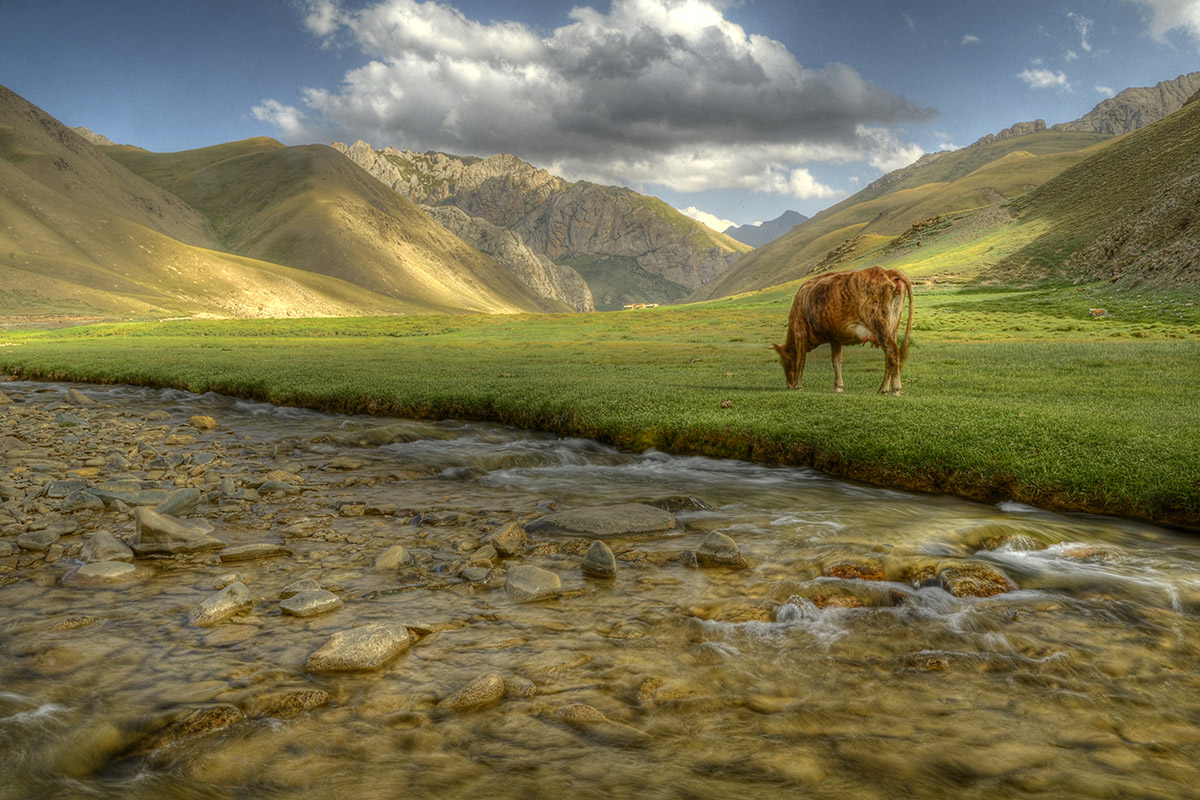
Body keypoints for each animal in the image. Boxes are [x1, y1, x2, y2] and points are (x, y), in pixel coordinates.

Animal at [772, 267, 912, 395]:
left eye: (783, 362)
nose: (788, 385)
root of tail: (886, 271)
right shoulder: (835, 338)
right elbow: (836, 361)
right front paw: (838, 387)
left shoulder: (801, 332)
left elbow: (801, 360)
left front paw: (798, 385)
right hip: (893, 327)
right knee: (889, 356)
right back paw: (883, 389)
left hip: (879, 324)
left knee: (892, 351)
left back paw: (895, 389)